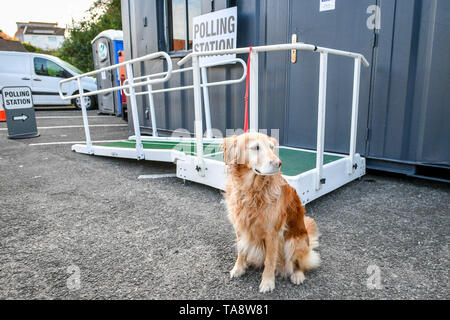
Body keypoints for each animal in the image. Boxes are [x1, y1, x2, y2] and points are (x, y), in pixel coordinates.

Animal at [222, 132, 320, 292]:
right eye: (256, 147)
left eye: (272, 147)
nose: (278, 163)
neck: (251, 190)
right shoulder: (240, 227)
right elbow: (241, 250)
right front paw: (238, 268)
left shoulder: (272, 233)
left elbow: (269, 260)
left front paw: (267, 282)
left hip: (294, 242)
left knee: (300, 263)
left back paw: (298, 275)